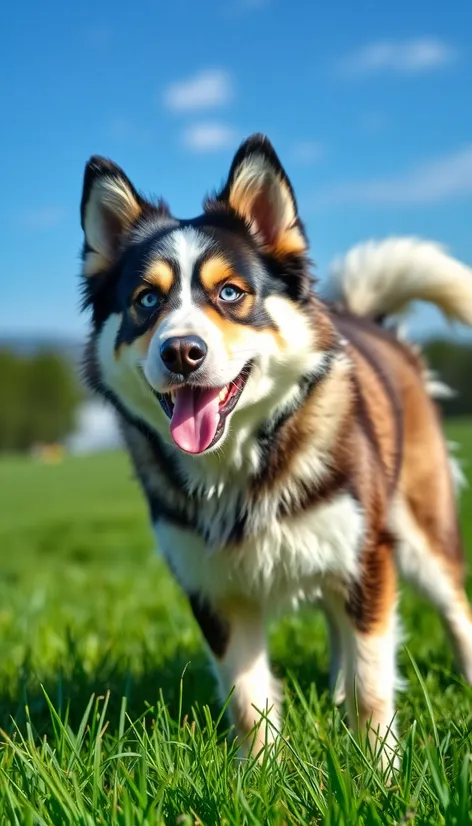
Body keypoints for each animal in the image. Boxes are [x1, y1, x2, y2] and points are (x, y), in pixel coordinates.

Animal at [80, 130, 472, 768]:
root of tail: (376, 325)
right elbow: (247, 695)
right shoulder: (214, 589)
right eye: (146, 301)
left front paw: (378, 771)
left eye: (230, 292)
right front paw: (258, 774)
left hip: (418, 527)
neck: (241, 461)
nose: (181, 352)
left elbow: (372, 682)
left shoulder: (366, 557)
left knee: (453, 605)